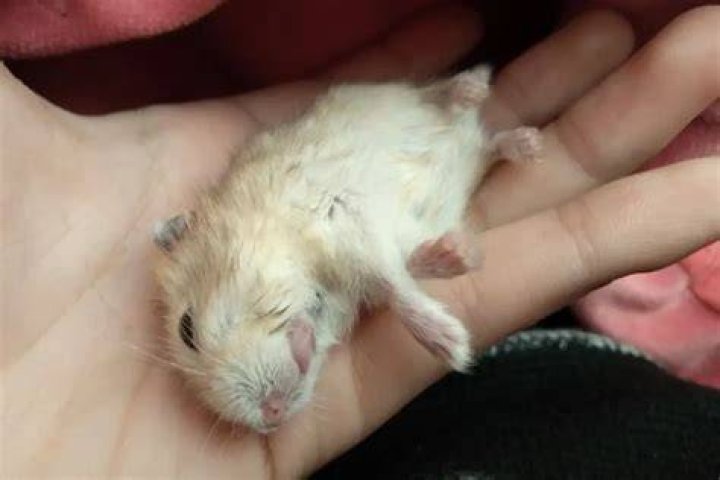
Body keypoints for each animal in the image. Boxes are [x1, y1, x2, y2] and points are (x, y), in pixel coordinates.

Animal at [152, 65, 542, 433]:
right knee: (487, 147)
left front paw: (454, 347)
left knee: (436, 98)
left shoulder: (345, 220)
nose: (271, 416)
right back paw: (523, 142)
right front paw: (458, 253)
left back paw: (478, 93)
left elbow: (396, 287)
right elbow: (402, 273)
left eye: (186, 329)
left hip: (375, 95)